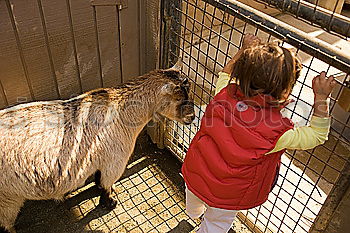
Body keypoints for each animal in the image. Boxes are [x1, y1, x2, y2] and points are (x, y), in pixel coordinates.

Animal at [0, 69, 194, 233]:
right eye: (178, 98)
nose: (191, 118)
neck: (123, 110)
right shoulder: (114, 163)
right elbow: (106, 184)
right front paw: (109, 202)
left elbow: (99, 178)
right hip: (8, 198)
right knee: (6, 222)